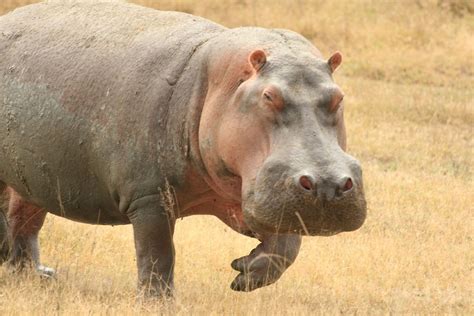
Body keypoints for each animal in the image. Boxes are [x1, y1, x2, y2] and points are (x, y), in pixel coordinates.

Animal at [0, 0, 366, 296]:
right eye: (268, 96)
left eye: (338, 97)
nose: (328, 185)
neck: (220, 81)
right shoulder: (149, 196)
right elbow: (157, 254)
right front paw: (157, 302)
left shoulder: (258, 197)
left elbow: (287, 246)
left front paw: (244, 274)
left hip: (32, 174)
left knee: (25, 218)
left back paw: (37, 275)